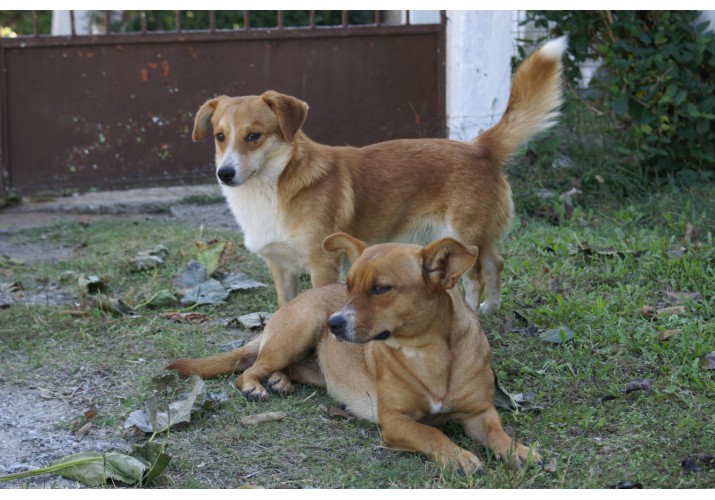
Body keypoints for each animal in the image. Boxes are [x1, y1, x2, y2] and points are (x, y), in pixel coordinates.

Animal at [169, 234, 544, 472]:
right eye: (348, 285)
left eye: (380, 289)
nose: (334, 324)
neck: (428, 353)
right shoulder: (395, 421)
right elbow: (432, 433)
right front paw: (458, 457)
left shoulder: (479, 412)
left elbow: (498, 433)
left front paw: (518, 450)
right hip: (298, 331)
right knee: (248, 369)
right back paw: (256, 386)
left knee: (281, 368)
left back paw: (280, 382)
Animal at [193, 37, 568, 312]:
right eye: (220, 136)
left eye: (254, 136)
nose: (225, 174)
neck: (274, 184)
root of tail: (478, 147)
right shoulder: (280, 268)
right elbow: (286, 309)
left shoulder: (323, 263)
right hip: (475, 234)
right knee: (496, 262)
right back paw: (491, 309)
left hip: (461, 236)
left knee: (474, 278)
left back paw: (475, 315)